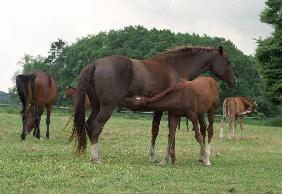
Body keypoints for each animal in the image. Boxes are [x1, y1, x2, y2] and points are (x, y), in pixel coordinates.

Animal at [72, 45, 236, 162]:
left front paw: (157, 156)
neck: (174, 67)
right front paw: (165, 157)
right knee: (96, 126)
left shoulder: (163, 108)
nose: (234, 81)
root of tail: (95, 64)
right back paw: (96, 158)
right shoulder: (166, 109)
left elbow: (157, 130)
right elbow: (165, 131)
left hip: (96, 106)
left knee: (88, 125)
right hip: (107, 107)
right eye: (228, 61)